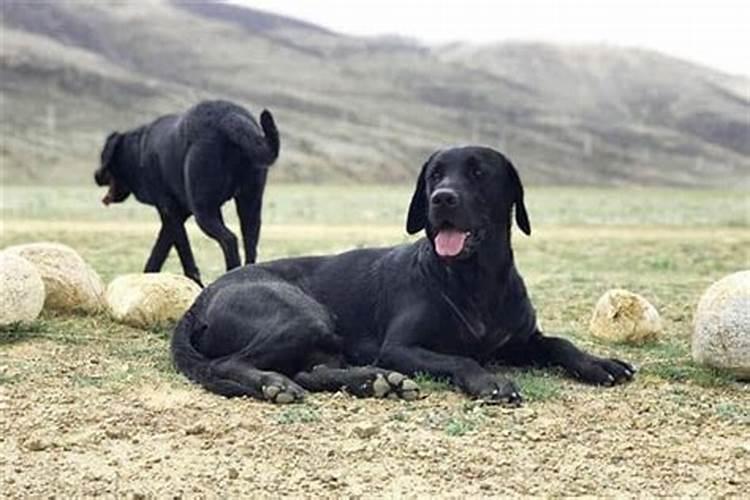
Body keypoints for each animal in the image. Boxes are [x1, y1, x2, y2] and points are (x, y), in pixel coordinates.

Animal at [94, 98, 280, 286]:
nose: (96, 175)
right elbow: (160, 250)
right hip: (249, 205)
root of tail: (229, 117)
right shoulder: (179, 215)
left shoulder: (169, 211)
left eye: (102, 156)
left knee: (229, 240)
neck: (137, 152)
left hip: (203, 211)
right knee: (250, 243)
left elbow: (183, 252)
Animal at [170, 146, 636, 404]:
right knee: (236, 363)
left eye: (478, 172)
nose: (441, 198)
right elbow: (461, 357)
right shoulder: (400, 347)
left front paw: (599, 363)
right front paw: (490, 382)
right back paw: (275, 383)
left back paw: (373, 382)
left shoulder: (521, 341)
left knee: (310, 371)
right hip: (303, 314)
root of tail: (198, 302)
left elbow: (559, 343)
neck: (475, 281)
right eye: (434, 174)